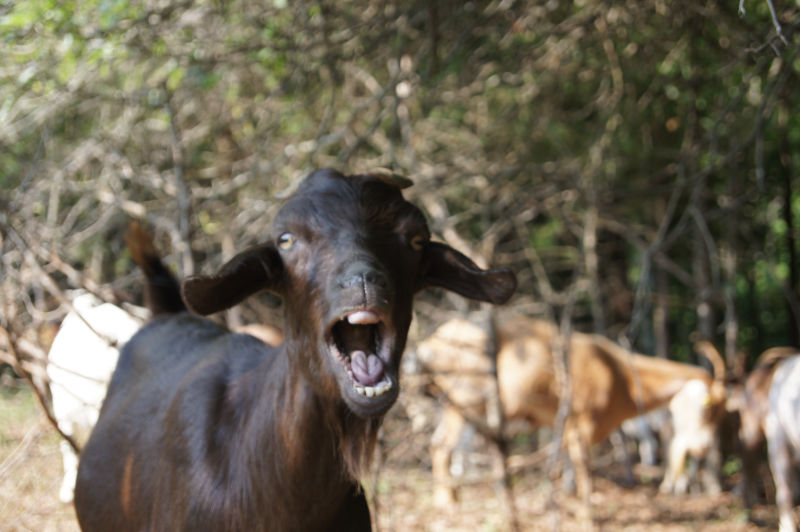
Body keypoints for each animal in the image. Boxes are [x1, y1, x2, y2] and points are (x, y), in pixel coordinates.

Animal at [417, 315, 724, 507]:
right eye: (712, 409)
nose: (701, 448)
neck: (621, 376)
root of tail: (431, 343)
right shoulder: (583, 420)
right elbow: (583, 468)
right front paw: (586, 505)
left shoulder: (565, 424)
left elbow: (562, 464)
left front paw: (561, 496)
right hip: (464, 400)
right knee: (443, 446)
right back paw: (447, 501)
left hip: (458, 405)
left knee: (437, 443)